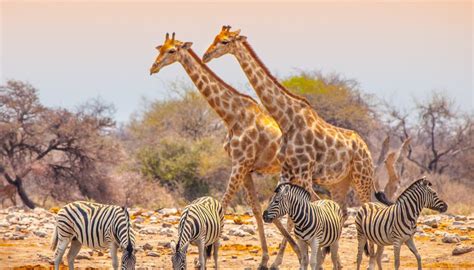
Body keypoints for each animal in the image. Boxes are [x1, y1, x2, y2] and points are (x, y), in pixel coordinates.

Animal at [150, 32, 300, 268]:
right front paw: (263, 259)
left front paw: (207, 256)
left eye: (172, 50)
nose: (153, 67)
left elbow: (224, 205)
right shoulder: (245, 168)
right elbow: (255, 209)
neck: (232, 116)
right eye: (160, 49)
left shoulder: (239, 164)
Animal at [204, 25, 378, 268]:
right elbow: (281, 212)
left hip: (362, 178)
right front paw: (300, 257)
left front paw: (310, 256)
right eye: (215, 38)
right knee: (342, 210)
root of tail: (365, 147)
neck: (286, 119)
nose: (206, 55)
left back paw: (368, 259)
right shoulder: (288, 171)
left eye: (225, 41)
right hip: (340, 183)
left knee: (366, 209)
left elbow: (309, 210)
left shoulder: (304, 172)